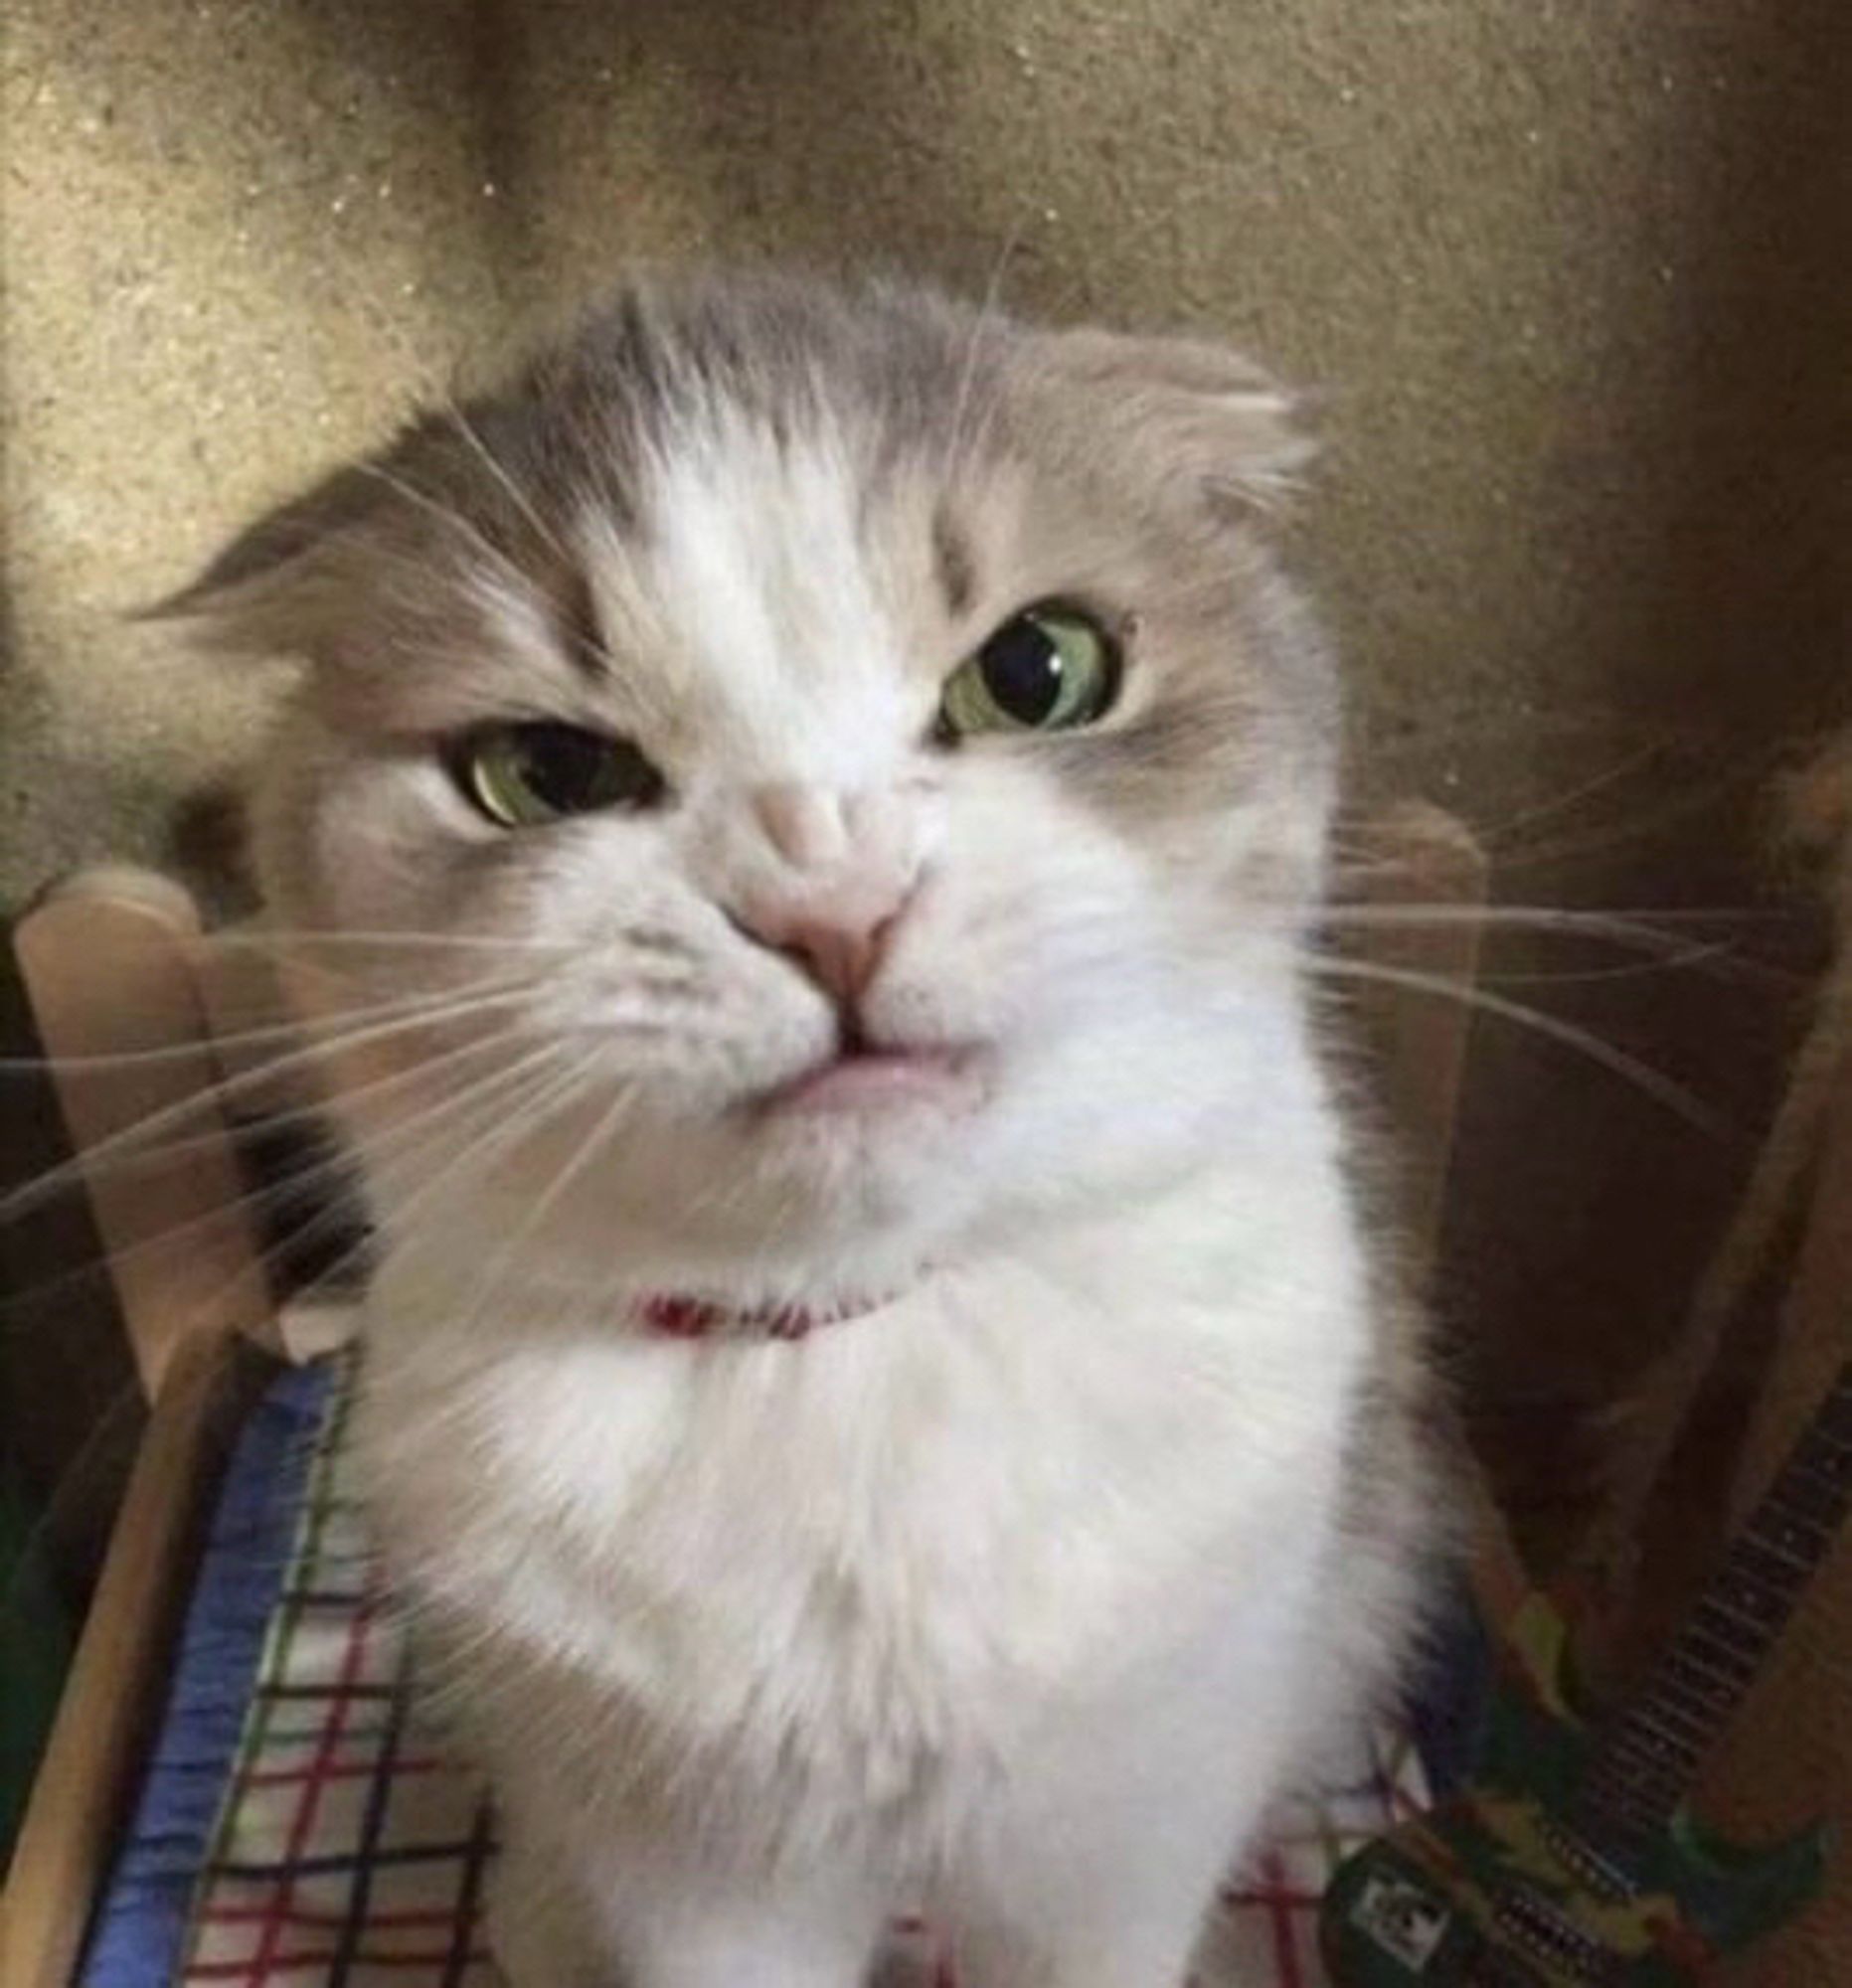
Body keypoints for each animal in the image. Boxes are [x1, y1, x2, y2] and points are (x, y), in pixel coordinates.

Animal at [169, 268, 1446, 1988]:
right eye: (542, 772)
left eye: (1038, 670)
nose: (828, 903)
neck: (856, 1356)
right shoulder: (697, 1870)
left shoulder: (1116, 1831)